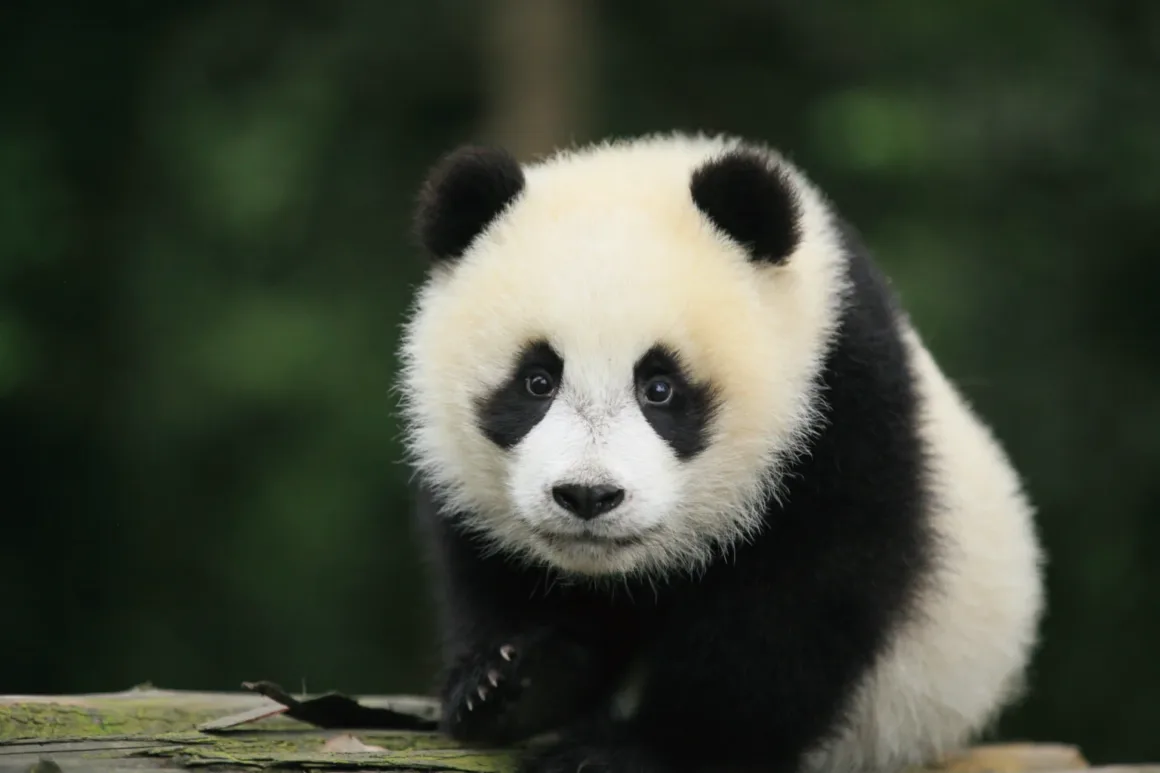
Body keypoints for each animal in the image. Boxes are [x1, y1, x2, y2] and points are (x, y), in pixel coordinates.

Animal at [396, 132, 1044, 773]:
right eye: (537, 381)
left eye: (660, 388)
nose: (588, 495)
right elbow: (491, 571)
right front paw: (507, 682)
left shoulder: (838, 405)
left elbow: (799, 598)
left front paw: (644, 749)